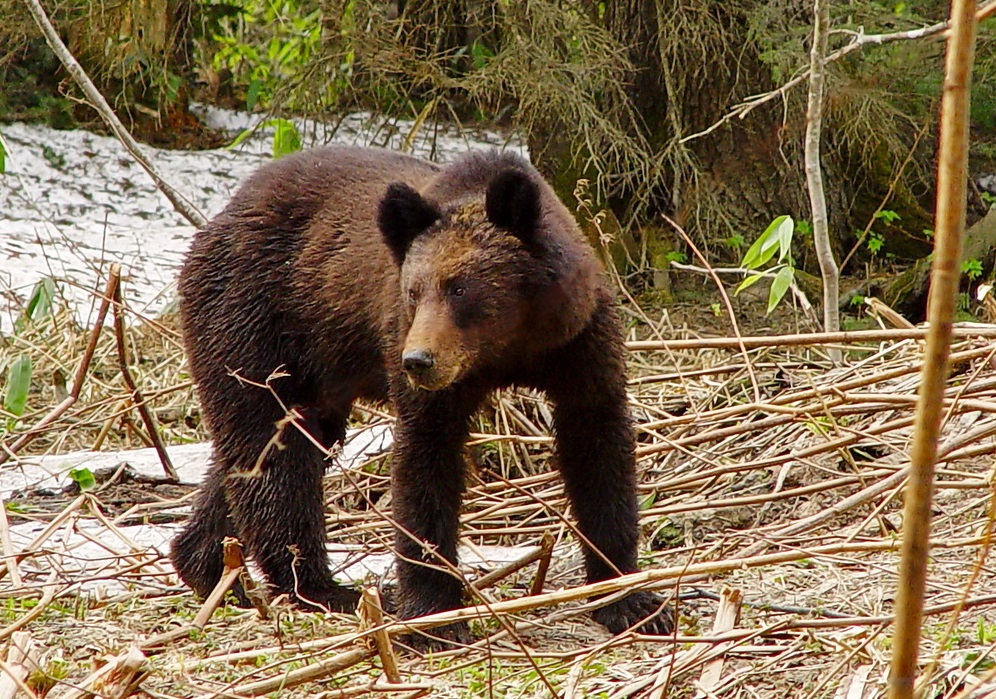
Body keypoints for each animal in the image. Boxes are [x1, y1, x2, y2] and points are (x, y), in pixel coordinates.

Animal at [171, 146, 672, 644]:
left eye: (460, 287)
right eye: (413, 290)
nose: (419, 360)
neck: (507, 349)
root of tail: (219, 219)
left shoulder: (579, 345)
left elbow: (597, 447)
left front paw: (630, 598)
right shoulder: (418, 363)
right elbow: (425, 463)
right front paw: (435, 615)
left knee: (264, 449)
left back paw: (207, 564)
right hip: (259, 320)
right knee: (271, 445)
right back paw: (319, 586)